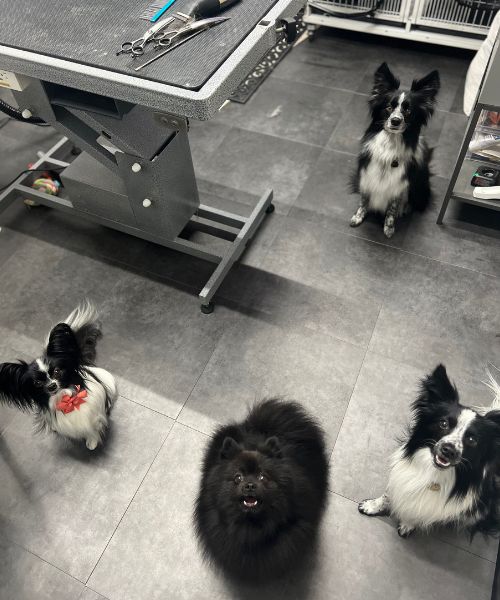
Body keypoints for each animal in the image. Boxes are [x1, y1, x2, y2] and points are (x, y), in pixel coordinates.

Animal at [0, 300, 116, 450]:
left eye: (57, 371)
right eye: (37, 383)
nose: (52, 386)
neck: (66, 398)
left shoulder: (96, 415)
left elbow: (94, 428)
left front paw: (92, 442)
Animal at [350, 62, 440, 237]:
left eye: (408, 110)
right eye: (388, 107)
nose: (396, 121)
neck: (390, 143)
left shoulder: (399, 185)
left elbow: (392, 208)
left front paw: (389, 227)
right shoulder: (367, 176)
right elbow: (364, 200)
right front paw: (358, 217)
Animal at [358, 366, 500, 540]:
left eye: (472, 439)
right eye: (443, 423)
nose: (449, 450)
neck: (433, 472)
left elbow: (419, 512)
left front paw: (408, 524)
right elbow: (387, 494)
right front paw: (372, 506)